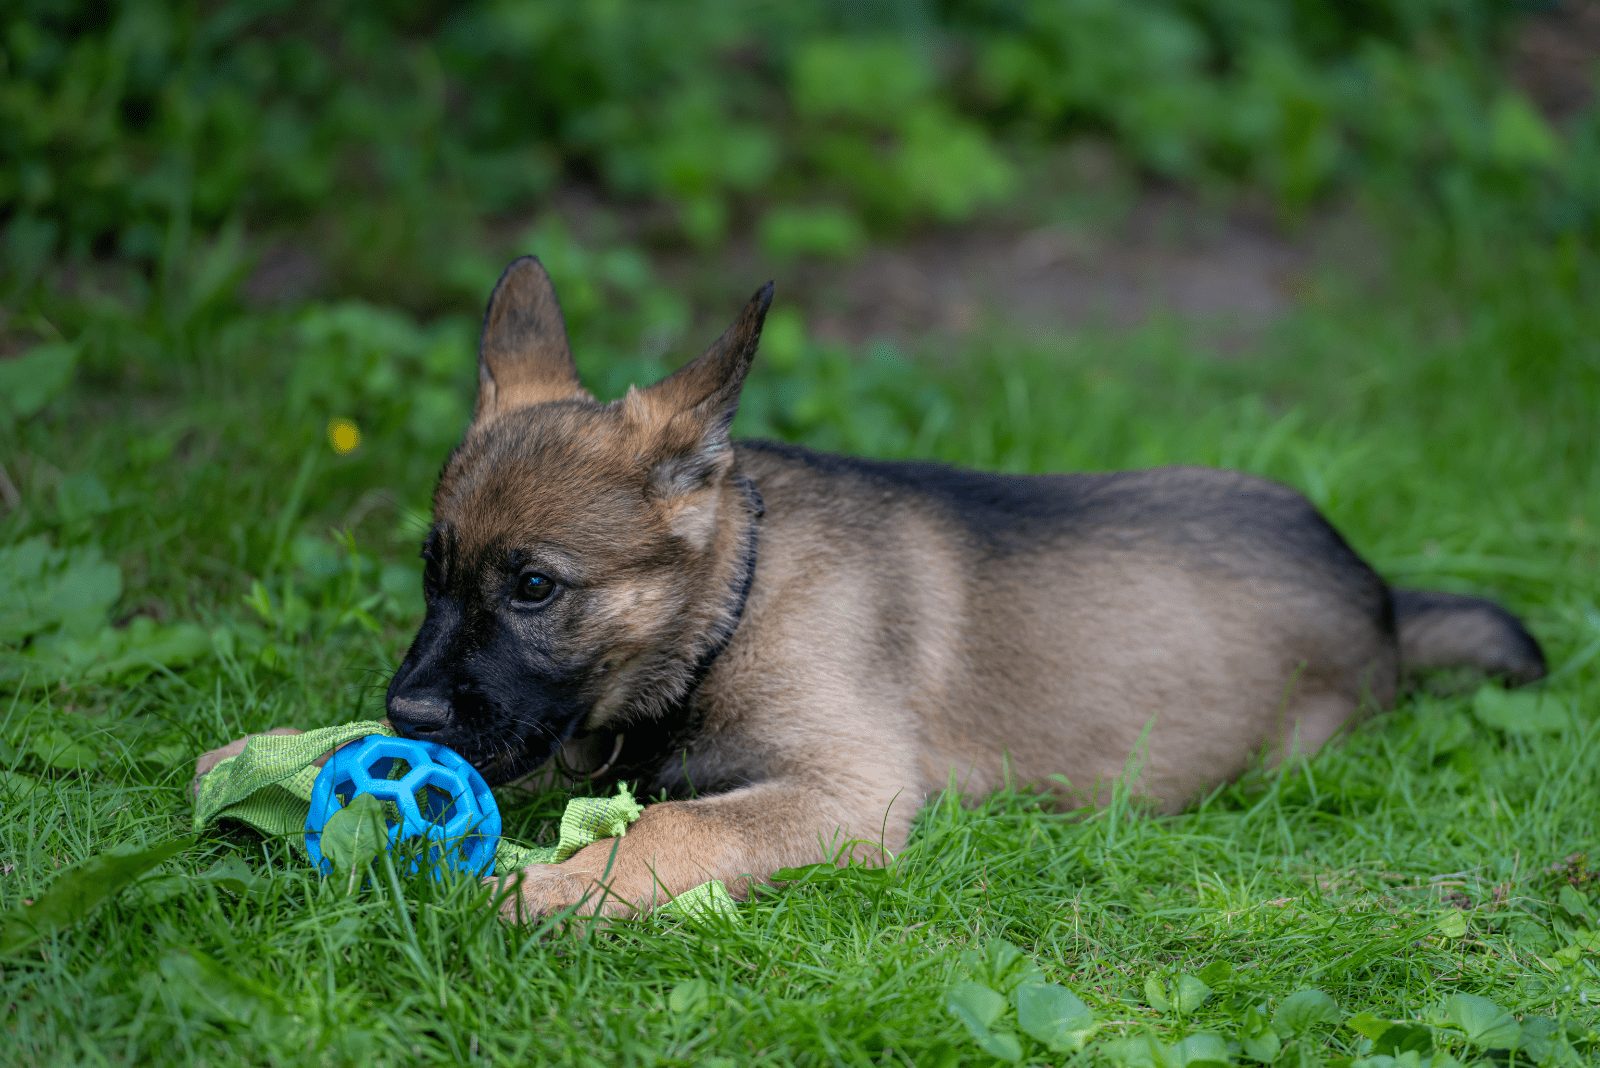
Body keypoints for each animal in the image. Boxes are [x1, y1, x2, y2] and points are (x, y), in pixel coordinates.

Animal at [193, 259, 1542, 920]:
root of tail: (1379, 594)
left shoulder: (847, 794)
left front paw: (554, 885)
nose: (409, 719)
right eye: (431, 573)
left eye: (533, 587)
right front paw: (265, 755)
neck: (731, 607)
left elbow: (682, 825)